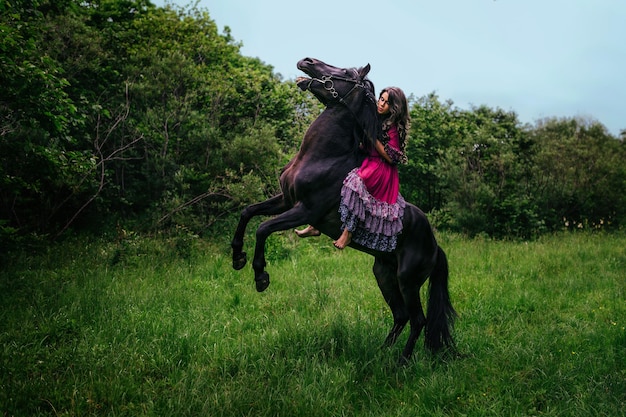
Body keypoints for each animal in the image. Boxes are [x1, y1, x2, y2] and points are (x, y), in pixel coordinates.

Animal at [229, 57, 454, 360]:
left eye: (346, 72)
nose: (307, 61)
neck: (323, 157)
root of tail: (434, 245)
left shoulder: (305, 210)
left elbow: (263, 229)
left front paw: (261, 277)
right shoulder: (285, 200)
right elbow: (247, 212)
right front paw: (237, 257)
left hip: (408, 281)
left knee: (418, 319)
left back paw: (401, 362)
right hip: (384, 274)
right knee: (401, 316)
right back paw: (380, 354)